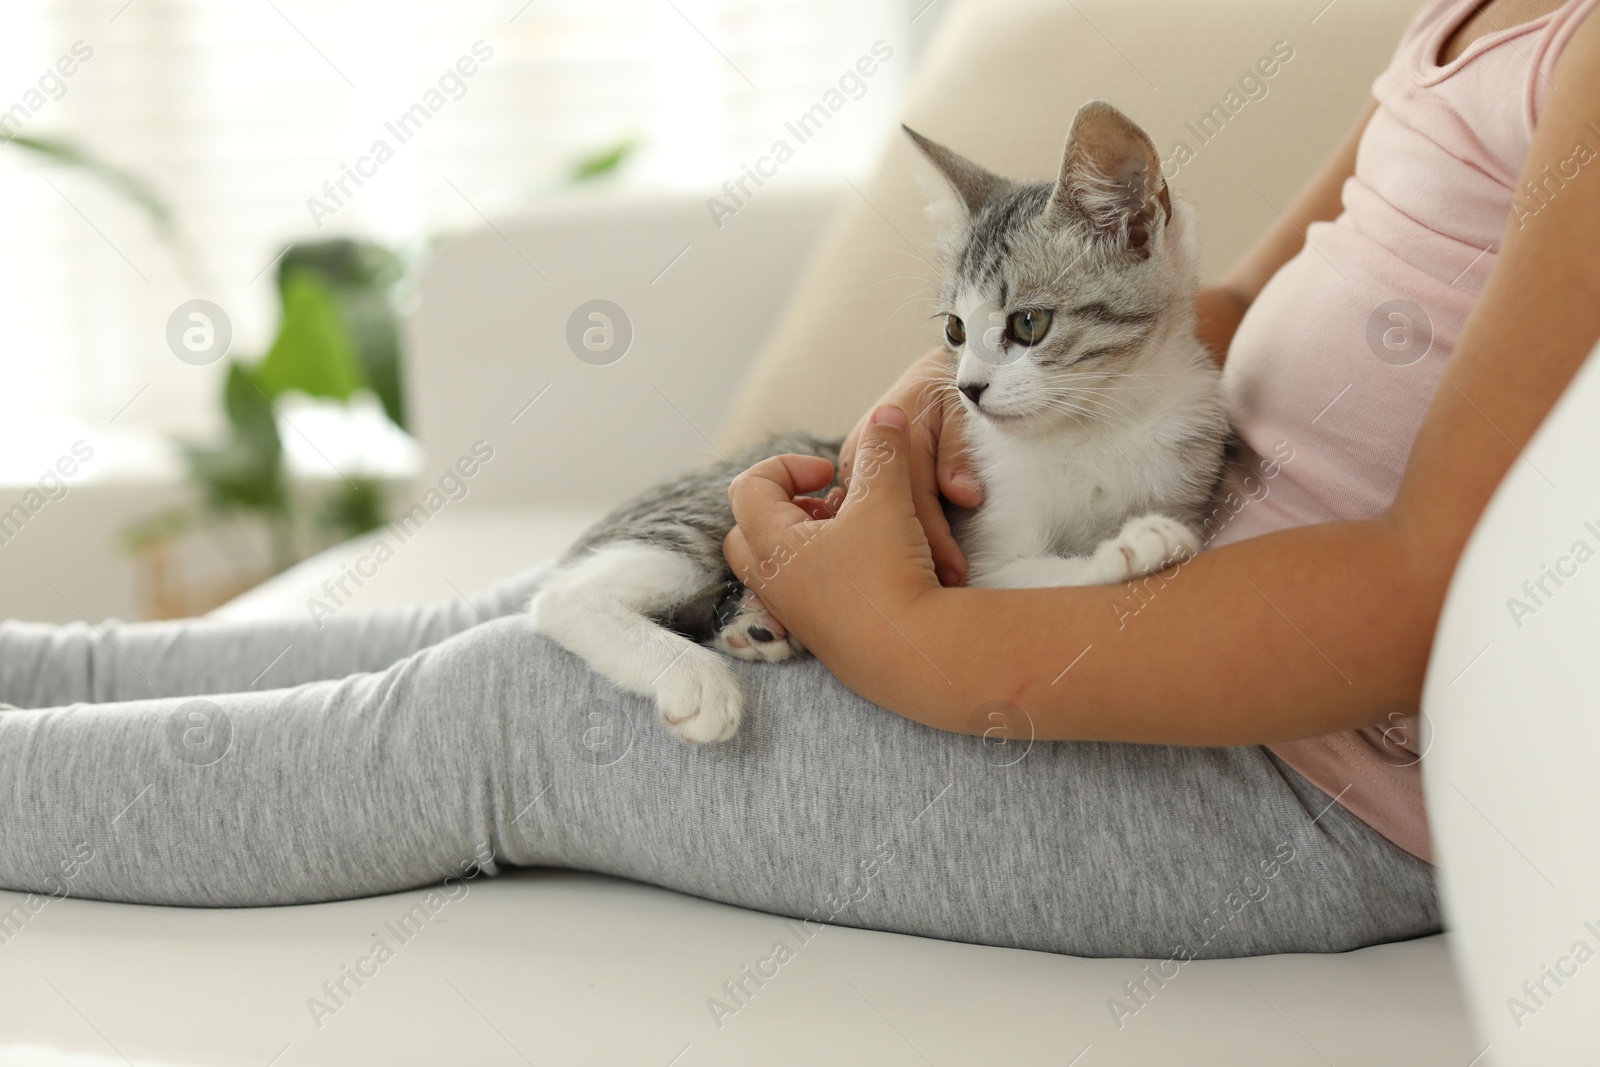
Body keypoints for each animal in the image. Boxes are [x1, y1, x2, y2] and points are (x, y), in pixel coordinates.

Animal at [524, 103, 1222, 748]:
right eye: (955, 330)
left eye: (1029, 324)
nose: (967, 390)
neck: (1096, 426)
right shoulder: (978, 554)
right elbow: (1030, 576)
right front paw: (1131, 550)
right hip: (729, 499)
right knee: (563, 595)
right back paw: (692, 676)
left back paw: (754, 623)